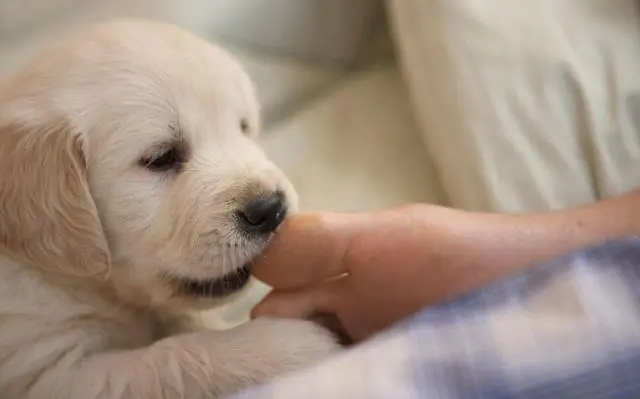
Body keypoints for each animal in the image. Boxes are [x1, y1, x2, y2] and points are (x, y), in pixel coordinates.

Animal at [0, 17, 340, 398]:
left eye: (243, 127)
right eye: (162, 157)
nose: (270, 208)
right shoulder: (50, 373)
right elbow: (171, 360)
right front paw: (286, 346)